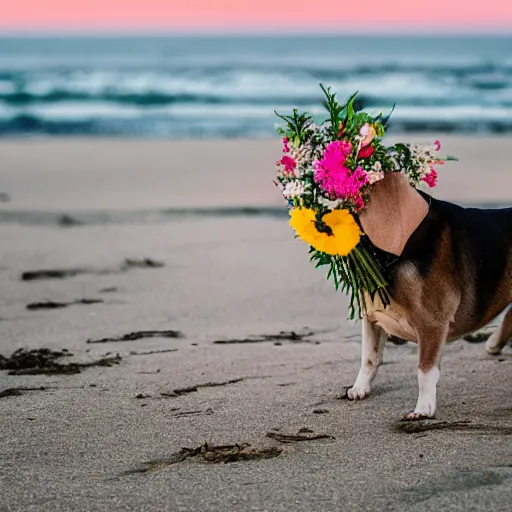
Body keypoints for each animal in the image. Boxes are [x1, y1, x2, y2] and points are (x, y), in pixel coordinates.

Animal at [344, 172, 512, 420]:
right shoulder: (372, 317)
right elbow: (369, 357)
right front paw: (360, 387)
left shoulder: (432, 324)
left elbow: (425, 370)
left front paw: (423, 409)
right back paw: (494, 343)